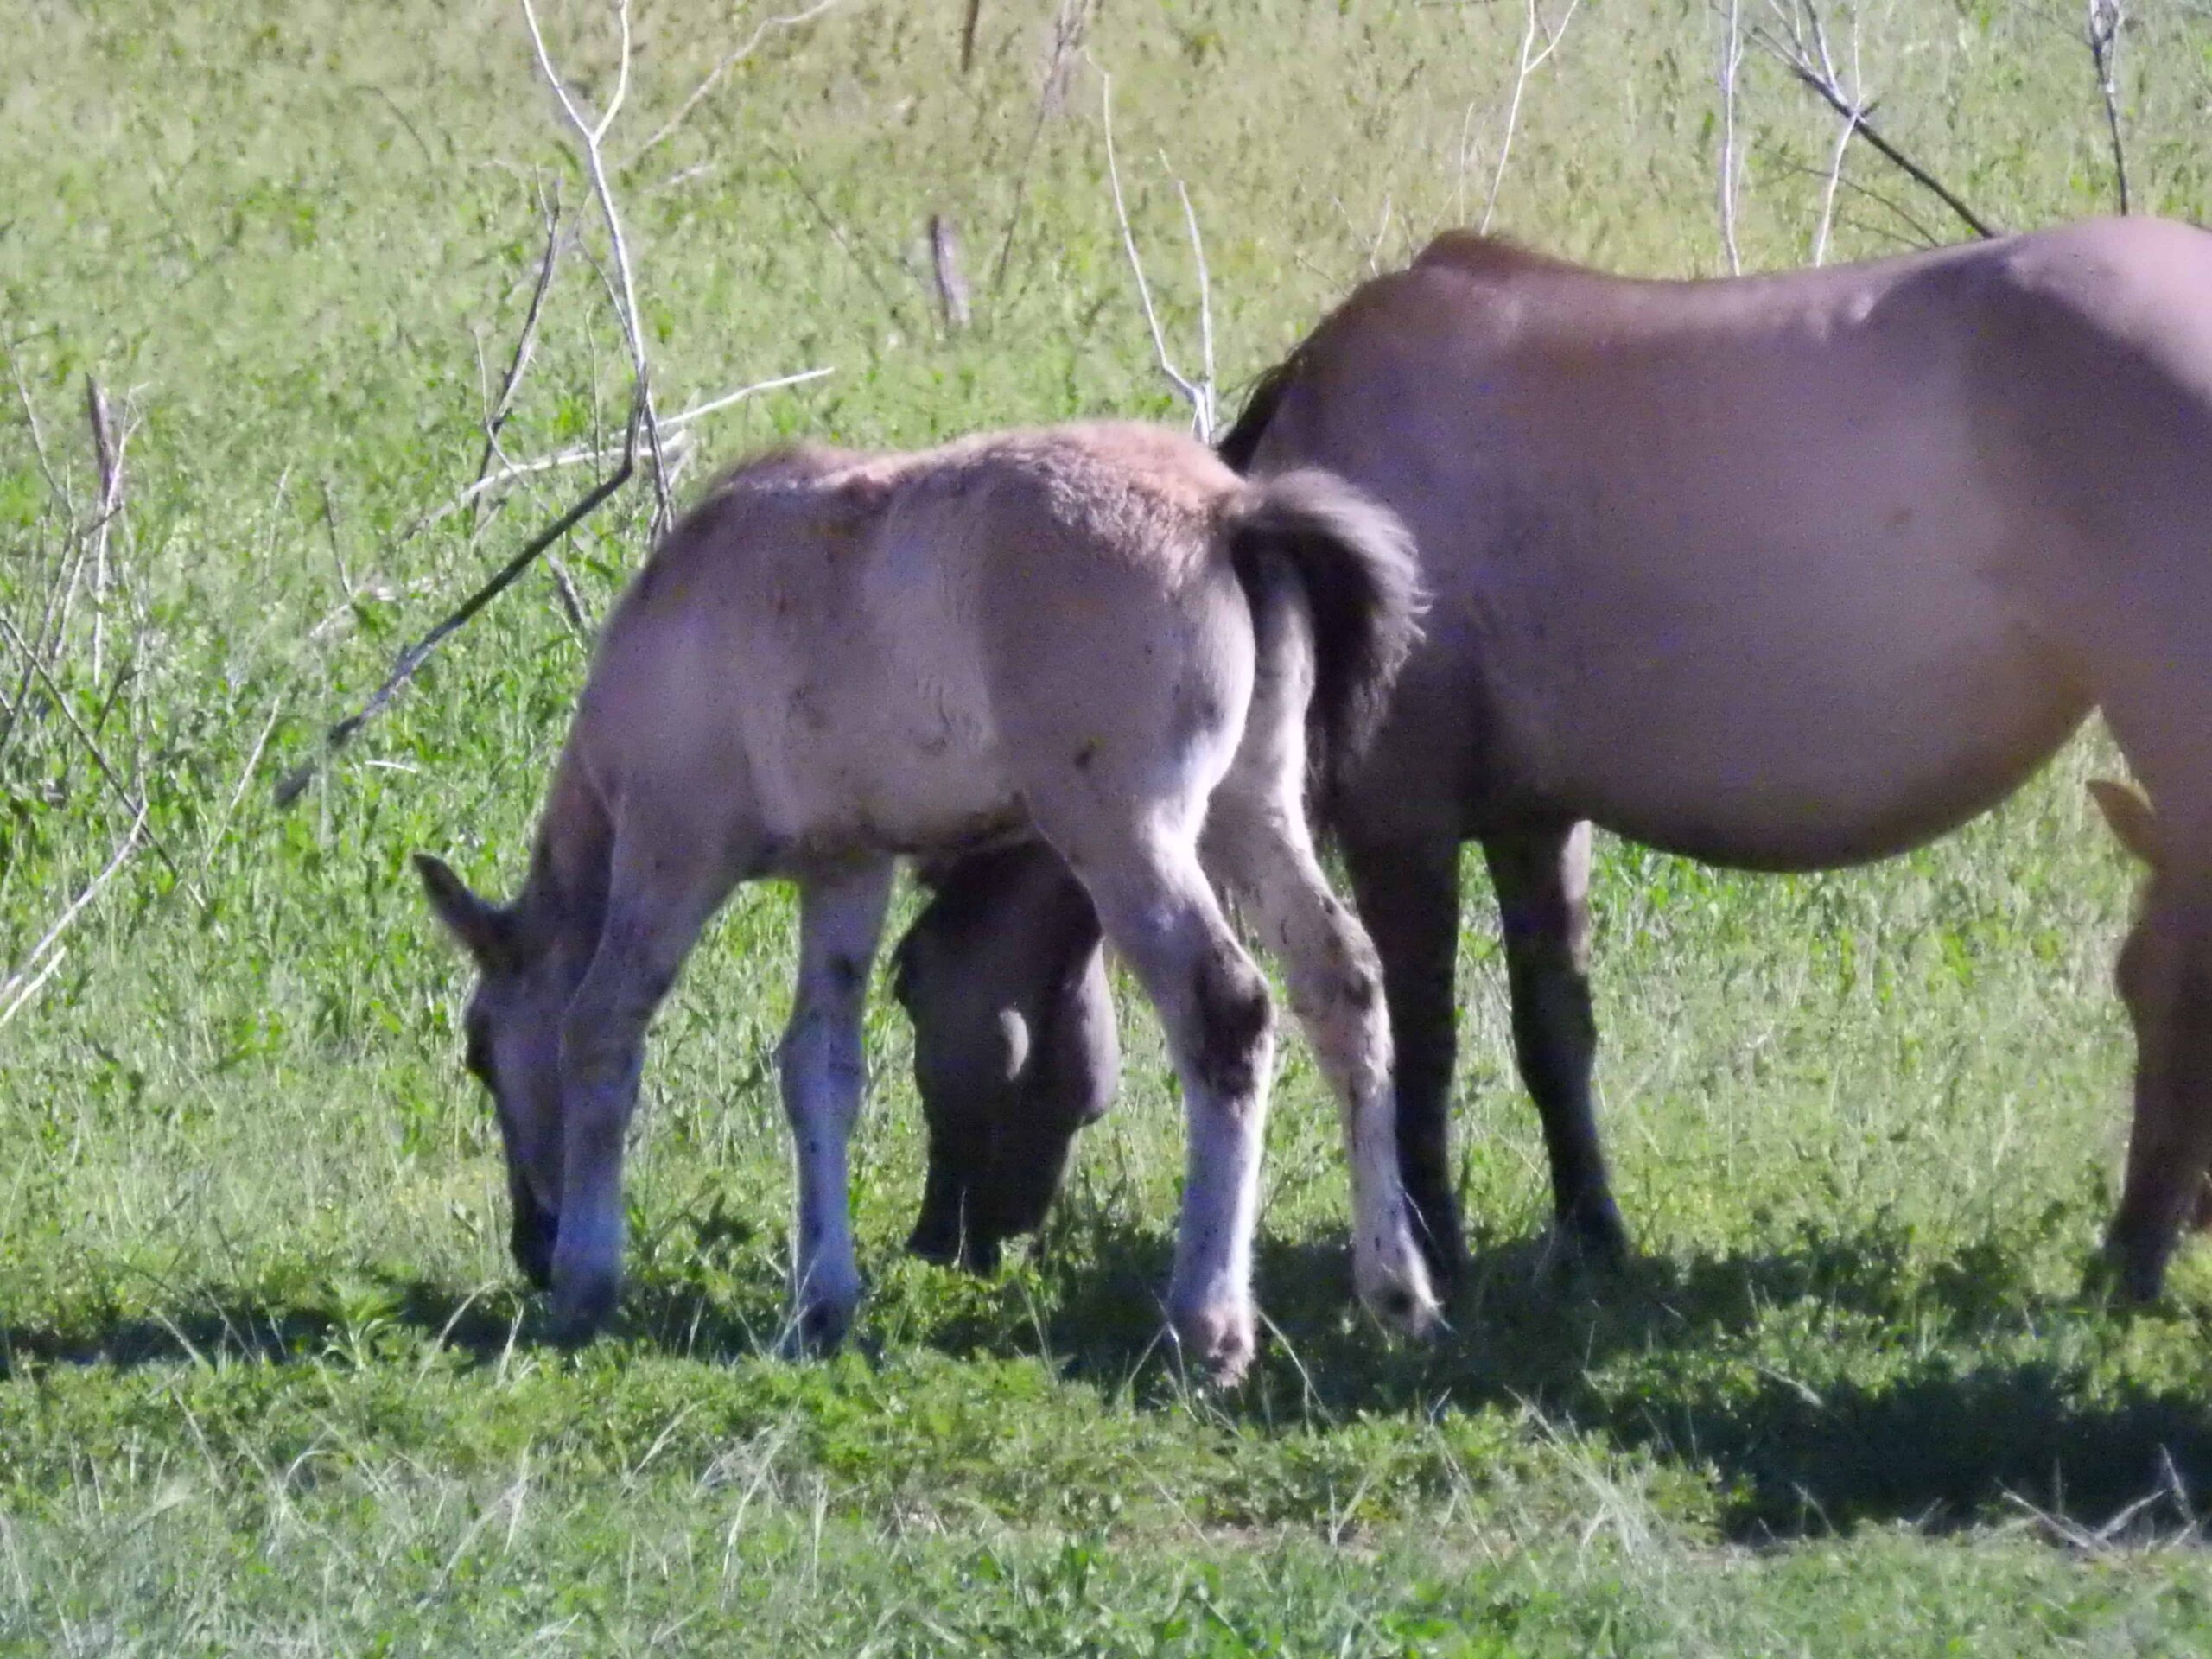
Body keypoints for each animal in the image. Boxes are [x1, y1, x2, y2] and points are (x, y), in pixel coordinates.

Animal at [416, 420, 1442, 1382]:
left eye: (478, 1050)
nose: (531, 1246)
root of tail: (1231, 512)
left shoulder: (673, 850)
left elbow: (601, 1028)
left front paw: (587, 1280)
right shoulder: (845, 868)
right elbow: (819, 1068)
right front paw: (819, 1303)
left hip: (1126, 837)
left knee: (1225, 1011)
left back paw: (1210, 1324)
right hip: (1252, 811)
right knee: (1343, 986)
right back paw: (1397, 1295)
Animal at [890, 215, 2212, 1303]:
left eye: (910, 991)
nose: (936, 1243)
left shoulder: (1400, 816)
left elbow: (1418, 1037)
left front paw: (1431, 1242)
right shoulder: (1536, 820)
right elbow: (1552, 1036)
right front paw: (1590, 1237)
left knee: (2172, 979)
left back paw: (2134, 1257)